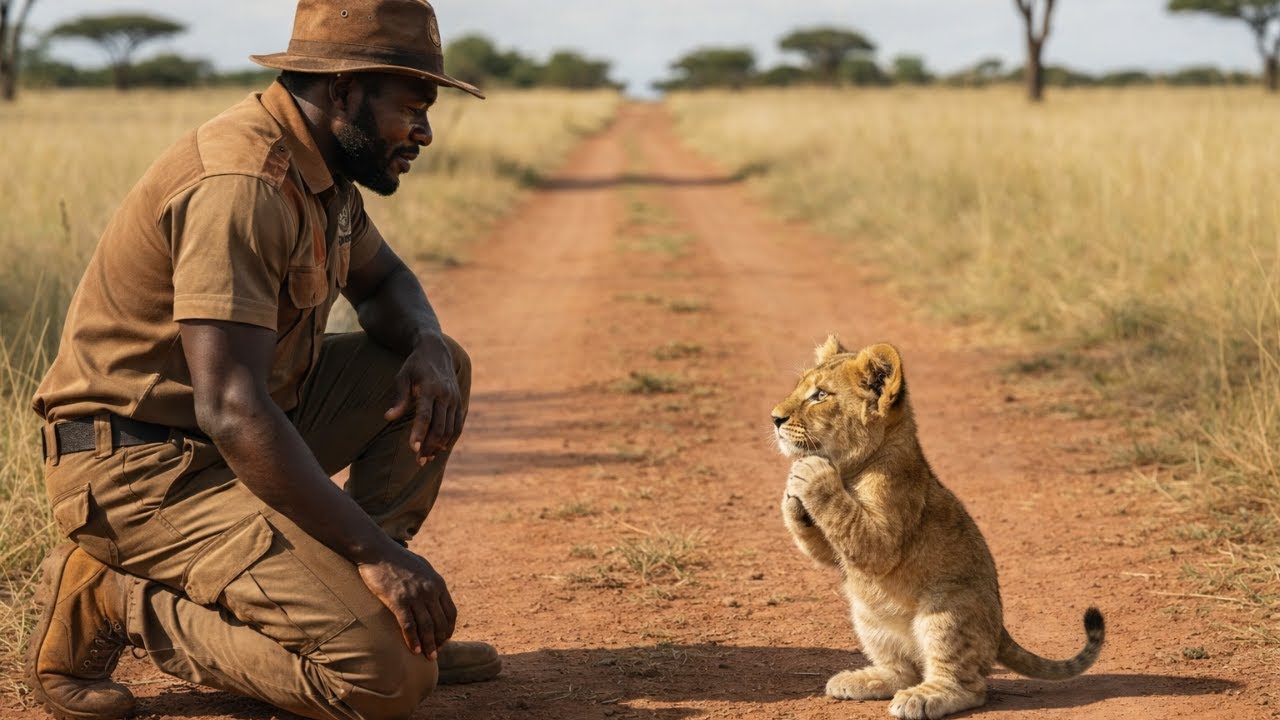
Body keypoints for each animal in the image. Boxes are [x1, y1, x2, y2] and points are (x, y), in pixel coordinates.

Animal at [771, 336, 1104, 720]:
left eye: (820, 395)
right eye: (801, 387)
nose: (774, 418)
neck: (851, 467)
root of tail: (1000, 630)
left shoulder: (886, 533)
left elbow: (854, 524)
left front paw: (810, 471)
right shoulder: (837, 551)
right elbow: (822, 547)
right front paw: (792, 493)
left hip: (945, 609)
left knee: (970, 687)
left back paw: (924, 698)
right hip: (866, 615)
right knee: (903, 671)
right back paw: (862, 680)